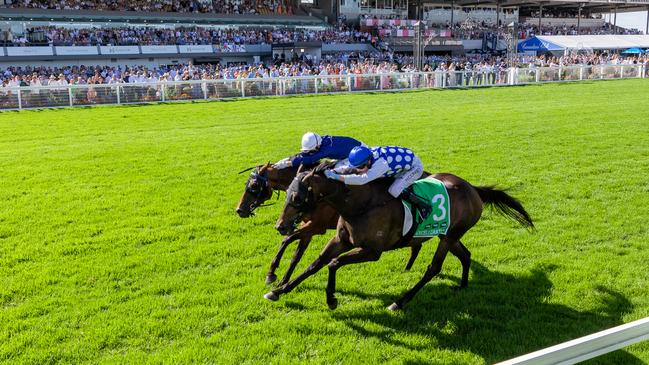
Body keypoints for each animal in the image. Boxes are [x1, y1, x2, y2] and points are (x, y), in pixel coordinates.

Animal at [235, 164, 422, 286]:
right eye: (247, 184)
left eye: (254, 185)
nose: (239, 209)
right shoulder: (308, 229)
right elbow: (295, 254)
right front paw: (283, 281)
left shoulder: (317, 226)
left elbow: (287, 239)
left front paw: (272, 274)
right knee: (416, 244)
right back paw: (408, 267)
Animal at [264, 165, 532, 310]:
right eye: (286, 193)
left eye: (297, 197)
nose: (281, 226)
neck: (360, 204)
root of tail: (473, 189)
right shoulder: (341, 240)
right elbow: (316, 263)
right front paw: (279, 290)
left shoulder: (372, 251)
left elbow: (333, 263)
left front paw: (331, 299)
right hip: (449, 234)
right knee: (465, 255)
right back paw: (463, 285)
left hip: (448, 237)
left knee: (434, 268)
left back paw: (400, 302)